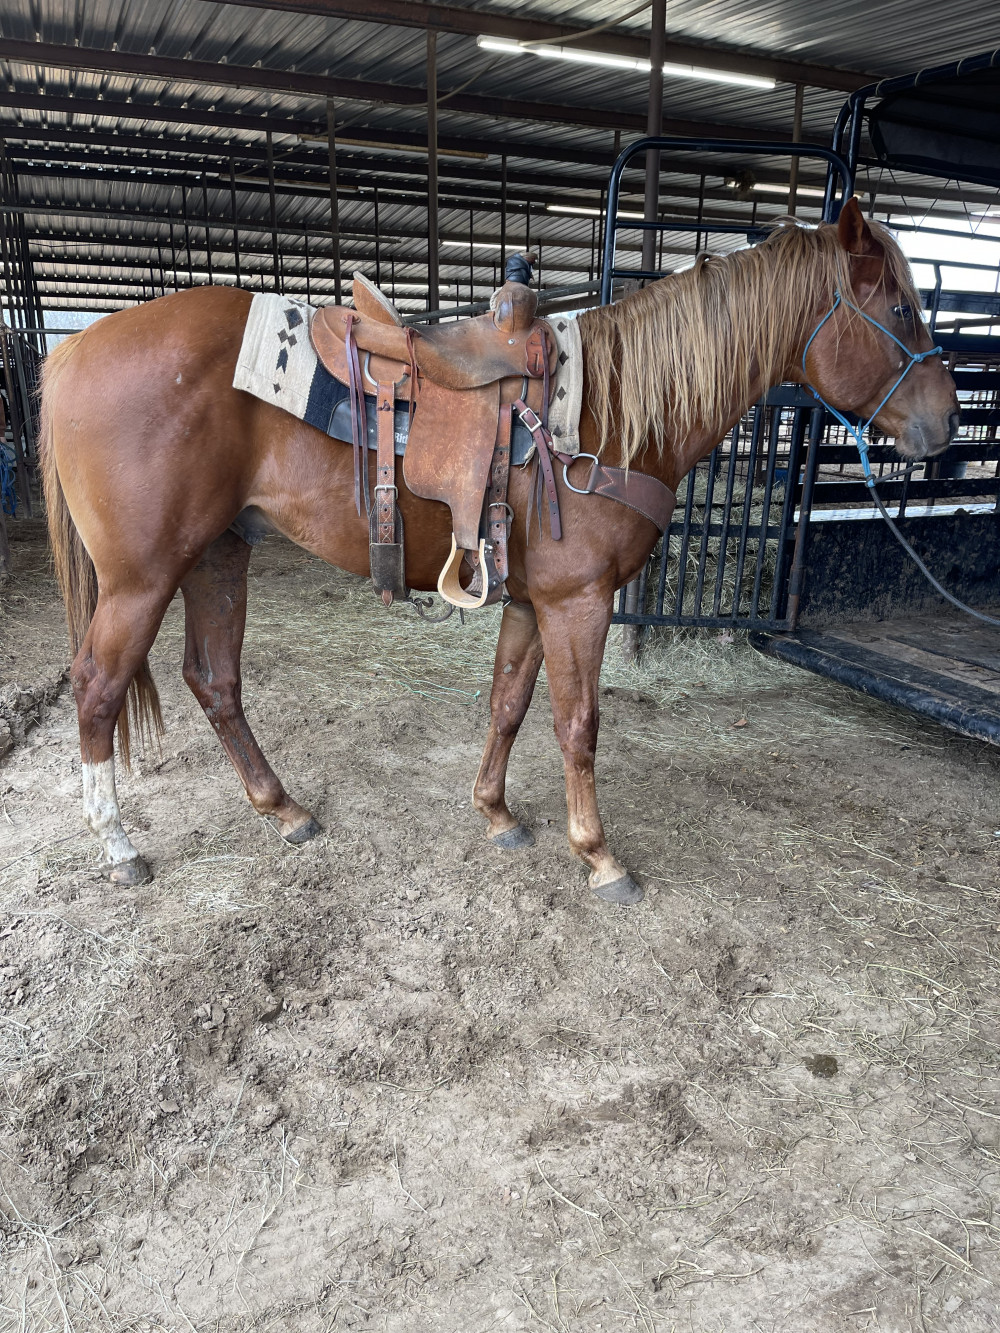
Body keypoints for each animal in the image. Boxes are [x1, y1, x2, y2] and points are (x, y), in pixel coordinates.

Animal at [39, 198, 959, 904]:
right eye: (901, 311)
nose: (946, 426)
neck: (606, 411)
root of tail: (74, 346)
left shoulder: (530, 600)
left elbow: (509, 704)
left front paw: (497, 812)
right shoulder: (579, 601)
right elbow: (578, 723)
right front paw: (599, 855)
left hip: (219, 555)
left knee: (214, 681)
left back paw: (283, 808)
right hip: (143, 578)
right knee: (97, 688)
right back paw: (119, 846)